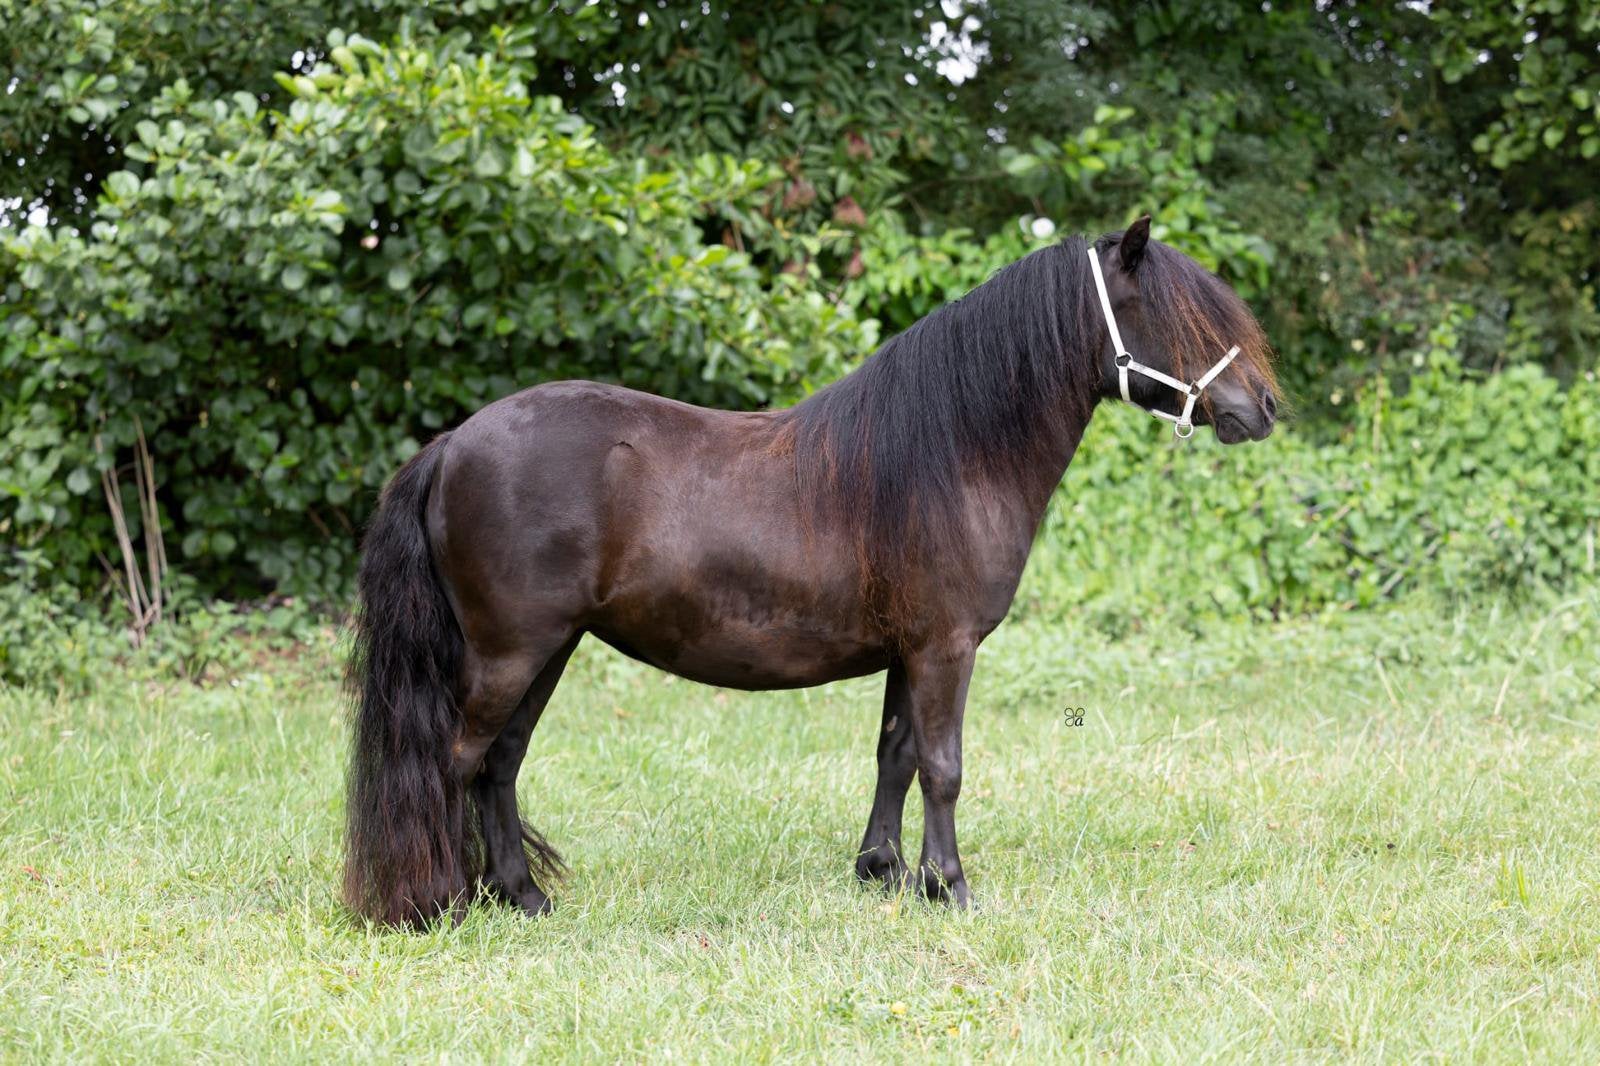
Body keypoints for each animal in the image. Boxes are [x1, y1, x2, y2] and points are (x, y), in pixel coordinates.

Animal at [343, 216, 1280, 927]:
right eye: (1183, 317)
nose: (1265, 408)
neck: (954, 452)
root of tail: (452, 445)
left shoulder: (910, 650)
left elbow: (895, 755)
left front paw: (885, 872)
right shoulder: (946, 647)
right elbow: (944, 765)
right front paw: (952, 887)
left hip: (548, 648)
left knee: (499, 764)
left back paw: (521, 896)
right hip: (511, 651)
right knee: (456, 759)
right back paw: (436, 904)